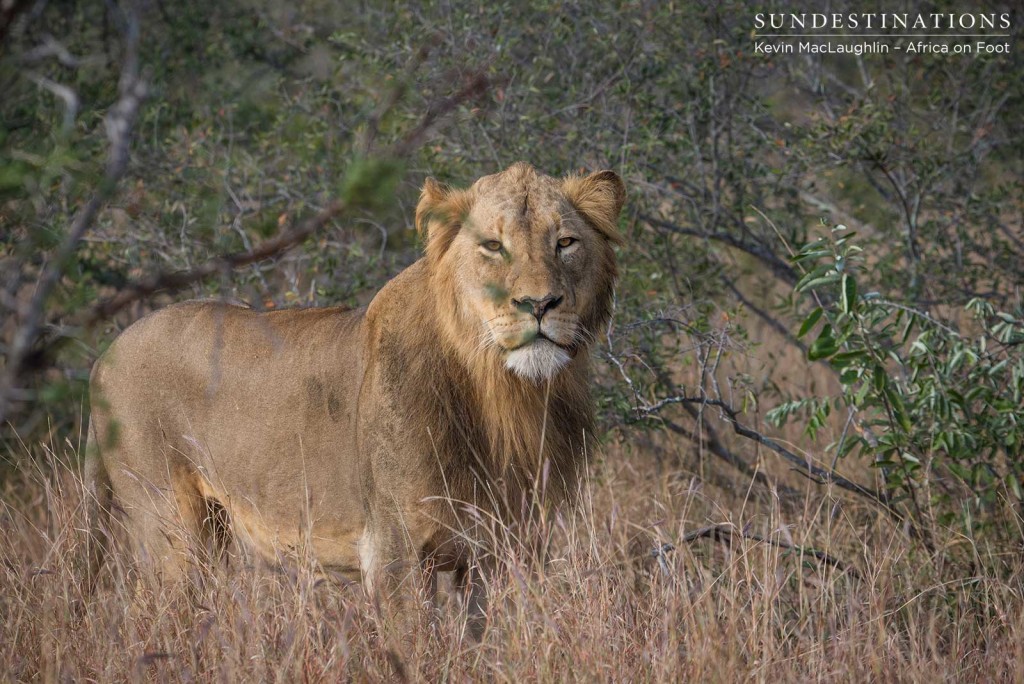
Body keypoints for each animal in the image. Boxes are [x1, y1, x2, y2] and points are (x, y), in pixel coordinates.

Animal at [83, 161, 622, 634]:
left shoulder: (505, 551)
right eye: (493, 245)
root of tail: (104, 353)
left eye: (566, 243)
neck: (502, 397)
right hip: (172, 532)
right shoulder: (394, 554)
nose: (540, 304)